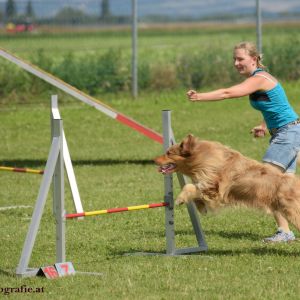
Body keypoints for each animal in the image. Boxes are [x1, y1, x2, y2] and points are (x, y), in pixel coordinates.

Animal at [154, 134, 300, 230]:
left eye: (169, 153)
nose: (154, 160)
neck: (202, 157)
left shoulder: (214, 189)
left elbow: (189, 186)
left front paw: (180, 199)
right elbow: (195, 192)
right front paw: (201, 207)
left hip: (292, 211)